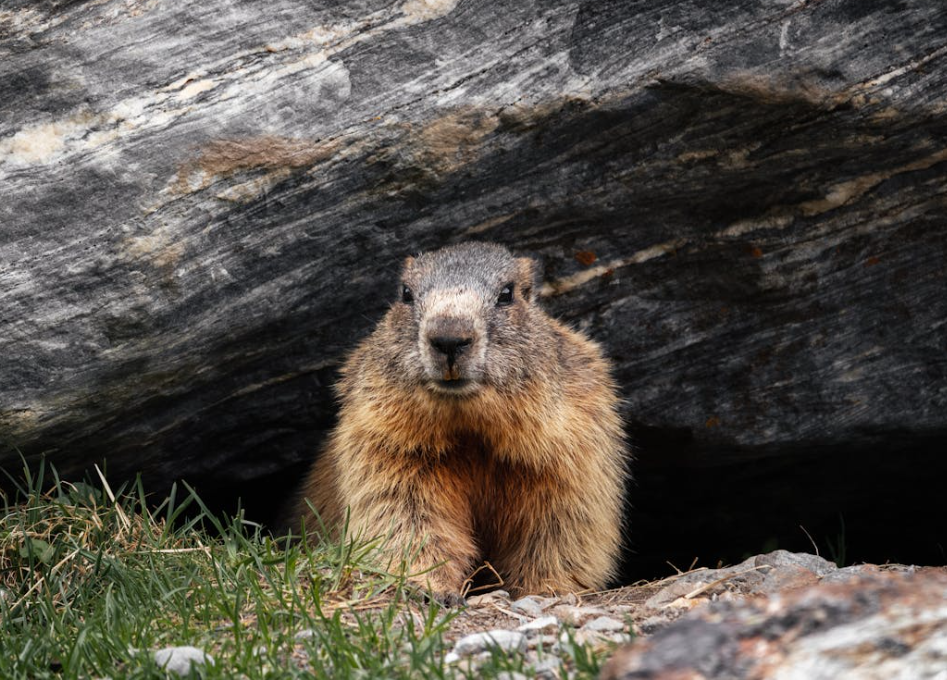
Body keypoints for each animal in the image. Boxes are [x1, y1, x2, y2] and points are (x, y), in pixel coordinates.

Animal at [291, 242, 627, 602]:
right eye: (405, 293)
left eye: (507, 294)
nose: (449, 338)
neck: (470, 432)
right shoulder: (384, 442)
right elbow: (405, 511)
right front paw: (430, 585)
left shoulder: (571, 446)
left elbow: (562, 523)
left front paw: (543, 589)